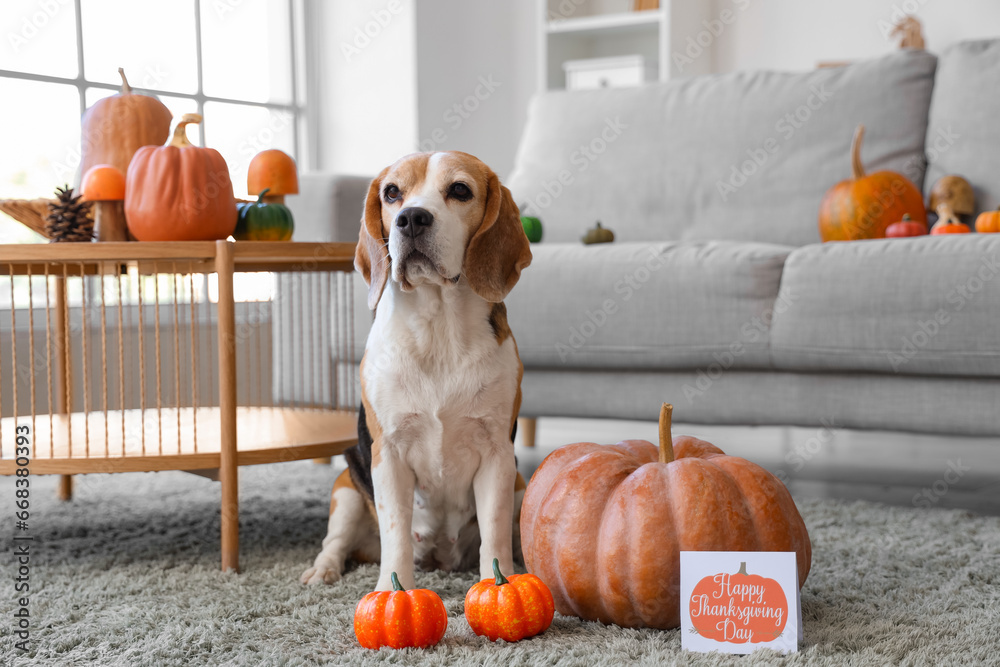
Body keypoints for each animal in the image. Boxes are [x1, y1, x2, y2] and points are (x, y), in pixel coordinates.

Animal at [300, 151, 536, 588]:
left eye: (460, 190)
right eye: (392, 193)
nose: (410, 218)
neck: (437, 329)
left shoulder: (497, 455)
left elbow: (494, 536)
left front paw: (499, 583)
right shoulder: (388, 454)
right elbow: (396, 536)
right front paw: (393, 591)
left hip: (519, 485)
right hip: (346, 487)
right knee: (336, 542)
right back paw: (323, 570)